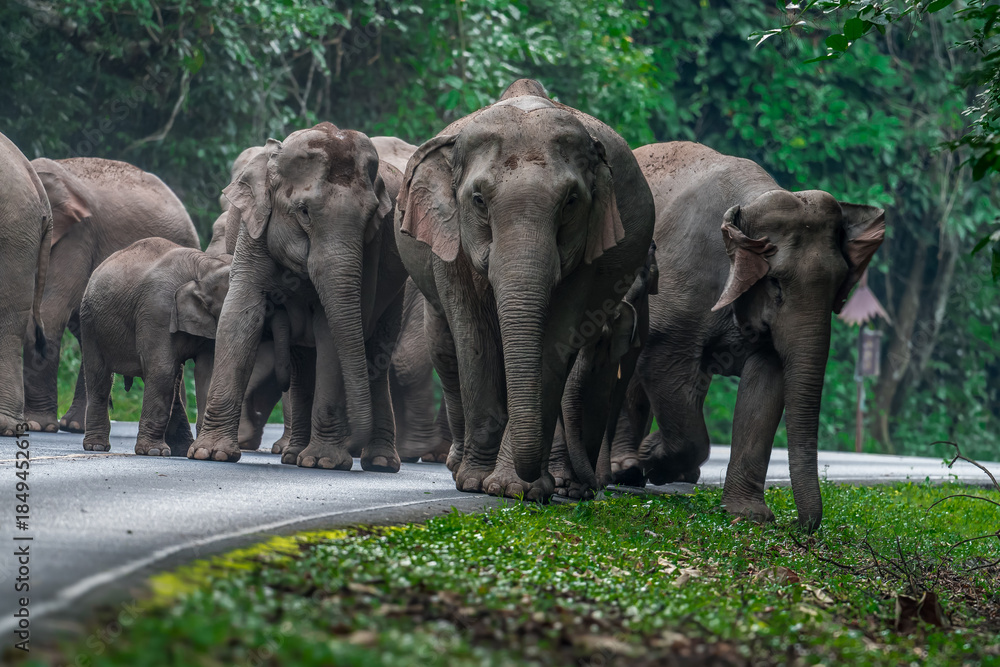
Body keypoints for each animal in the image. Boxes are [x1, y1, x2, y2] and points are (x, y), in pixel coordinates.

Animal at [188, 123, 409, 472]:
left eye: (371, 217)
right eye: (304, 212)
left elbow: (331, 329)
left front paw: (324, 462)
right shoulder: (254, 229)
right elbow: (240, 314)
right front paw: (210, 454)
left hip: (397, 285)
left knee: (375, 351)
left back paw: (379, 463)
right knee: (302, 359)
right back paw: (293, 455)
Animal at [395, 78, 655, 500]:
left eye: (571, 201)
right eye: (478, 200)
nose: (591, 488)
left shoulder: (590, 250)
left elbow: (554, 339)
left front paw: (516, 489)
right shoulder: (449, 242)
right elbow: (474, 337)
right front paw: (474, 483)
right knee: (449, 348)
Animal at [623, 141, 884, 530]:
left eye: (840, 284)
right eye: (774, 281)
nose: (798, 525)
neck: (749, 203)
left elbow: (766, 383)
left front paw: (749, 515)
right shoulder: (682, 279)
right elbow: (662, 363)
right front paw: (653, 458)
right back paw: (625, 470)